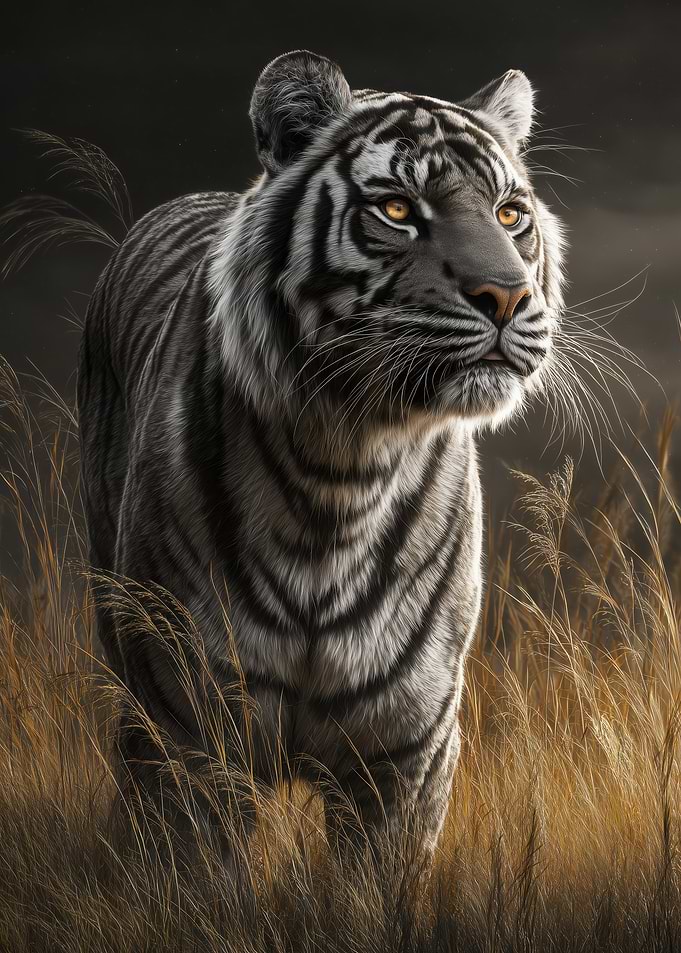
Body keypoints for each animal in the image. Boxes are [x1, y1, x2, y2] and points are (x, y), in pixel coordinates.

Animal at [77, 50, 565, 863]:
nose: (506, 295)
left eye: (509, 214)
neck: (344, 470)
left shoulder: (407, 755)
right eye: (397, 209)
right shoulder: (191, 740)